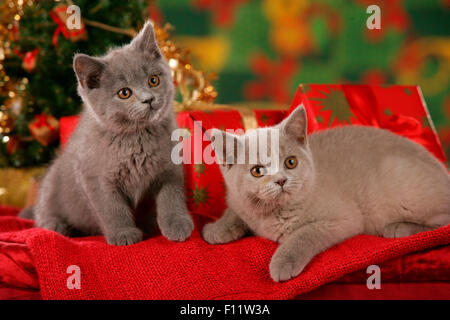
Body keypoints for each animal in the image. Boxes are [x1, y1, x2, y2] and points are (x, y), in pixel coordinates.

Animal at [19, 21, 193, 245]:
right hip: (51, 185)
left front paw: (177, 224)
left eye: (153, 80)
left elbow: (172, 195)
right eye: (124, 93)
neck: (137, 138)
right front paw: (123, 234)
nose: (148, 99)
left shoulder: (169, 167)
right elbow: (112, 209)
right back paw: (56, 225)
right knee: (44, 213)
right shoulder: (95, 179)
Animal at [204, 105, 450, 280]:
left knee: (442, 223)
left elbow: (304, 233)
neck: (272, 214)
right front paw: (216, 230)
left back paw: (398, 227)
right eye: (257, 171)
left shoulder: (344, 219)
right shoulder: (240, 201)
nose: (281, 180)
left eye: (290, 162)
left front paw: (283, 262)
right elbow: (235, 210)